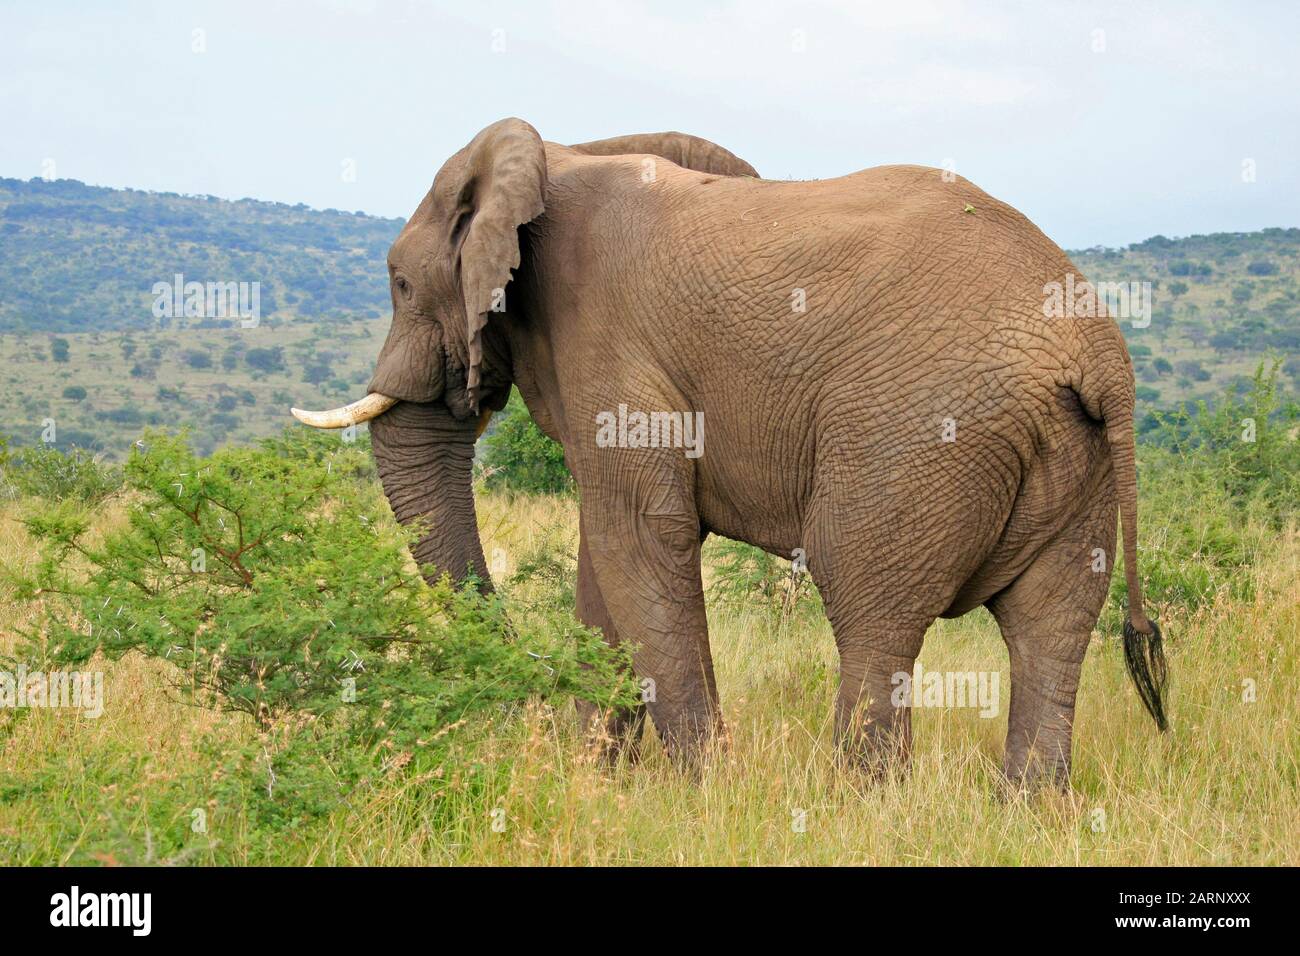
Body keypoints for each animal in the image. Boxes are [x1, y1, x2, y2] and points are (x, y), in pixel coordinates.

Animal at [293, 117, 1168, 788]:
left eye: (400, 283)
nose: (528, 703)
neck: (561, 152)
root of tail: (1098, 353)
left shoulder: (609, 344)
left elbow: (641, 536)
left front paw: (701, 790)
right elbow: (607, 553)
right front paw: (597, 780)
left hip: (920, 430)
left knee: (869, 605)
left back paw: (855, 805)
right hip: (1077, 458)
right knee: (1050, 626)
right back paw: (1028, 806)